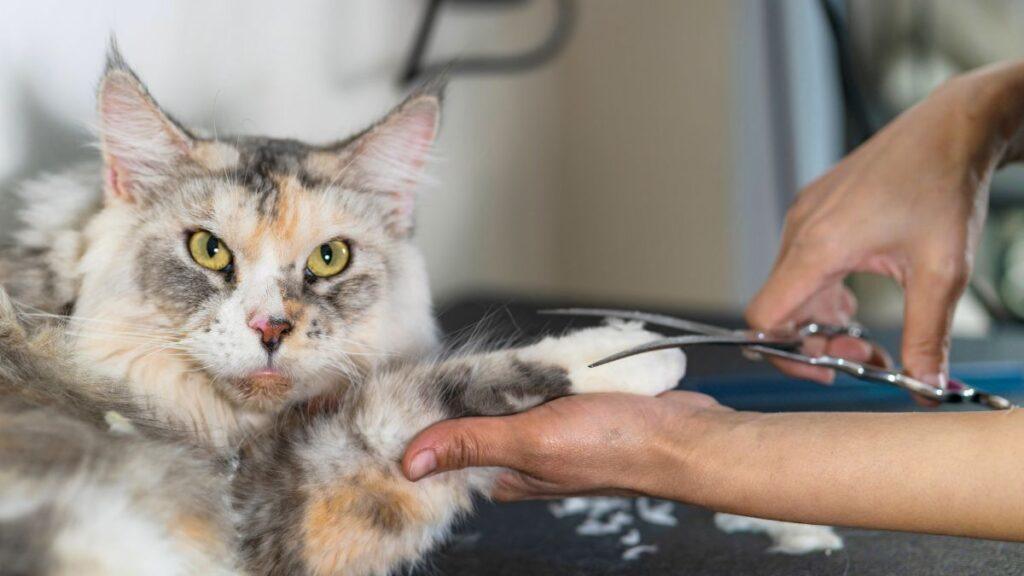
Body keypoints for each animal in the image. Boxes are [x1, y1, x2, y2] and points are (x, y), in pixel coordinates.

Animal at [0, 45, 688, 573]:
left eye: (329, 258)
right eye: (208, 249)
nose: (270, 327)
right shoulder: (285, 504)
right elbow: (442, 388)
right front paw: (631, 351)